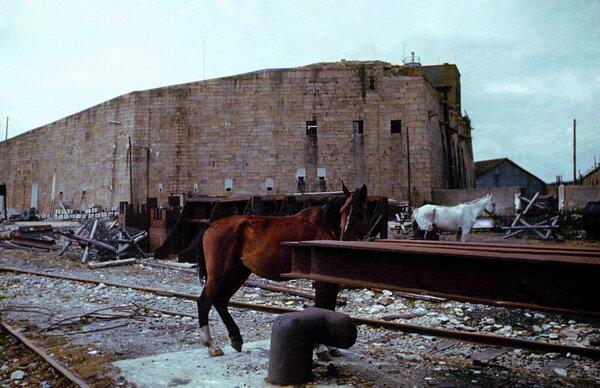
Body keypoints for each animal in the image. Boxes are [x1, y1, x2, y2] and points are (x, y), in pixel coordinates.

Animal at [197, 183, 368, 356]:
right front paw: (321, 347)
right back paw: (211, 344)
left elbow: (329, 306)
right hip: (219, 274)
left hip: (237, 273)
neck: (326, 225)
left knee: (220, 301)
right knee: (205, 301)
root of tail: (211, 225)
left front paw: (330, 346)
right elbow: (322, 306)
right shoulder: (321, 279)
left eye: (361, 212)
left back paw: (236, 338)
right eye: (343, 211)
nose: (343, 241)